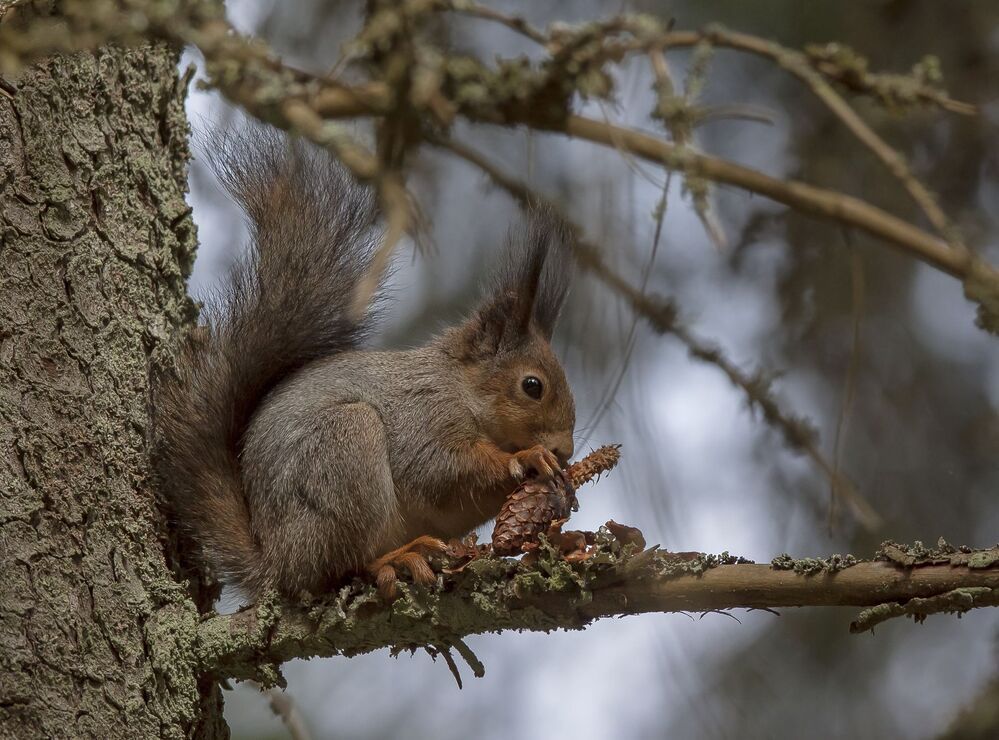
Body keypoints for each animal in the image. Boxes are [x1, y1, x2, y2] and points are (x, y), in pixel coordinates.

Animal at [155, 129, 576, 598]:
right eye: (532, 386)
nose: (566, 449)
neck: (460, 389)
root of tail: (275, 563)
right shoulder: (423, 415)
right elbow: (440, 470)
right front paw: (526, 457)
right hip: (345, 449)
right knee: (339, 564)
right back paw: (397, 557)